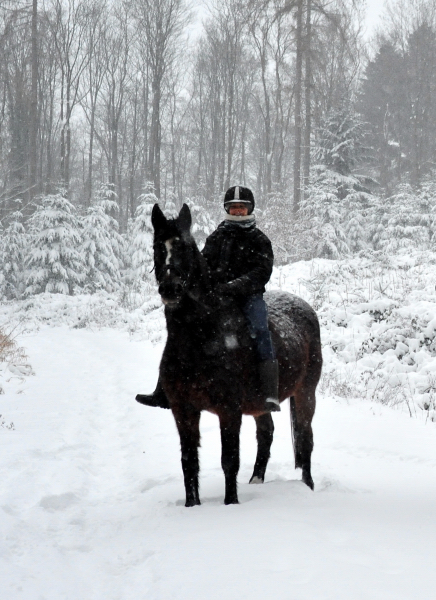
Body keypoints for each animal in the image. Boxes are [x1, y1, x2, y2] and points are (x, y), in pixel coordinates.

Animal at [146, 205, 320, 506]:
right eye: (158, 246)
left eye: (185, 248)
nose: (170, 289)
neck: (200, 338)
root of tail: (306, 308)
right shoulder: (183, 410)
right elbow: (189, 461)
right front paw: (192, 506)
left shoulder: (229, 410)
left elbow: (229, 460)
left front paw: (231, 504)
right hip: (262, 405)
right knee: (266, 433)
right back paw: (257, 482)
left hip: (306, 393)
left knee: (305, 437)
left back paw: (306, 486)